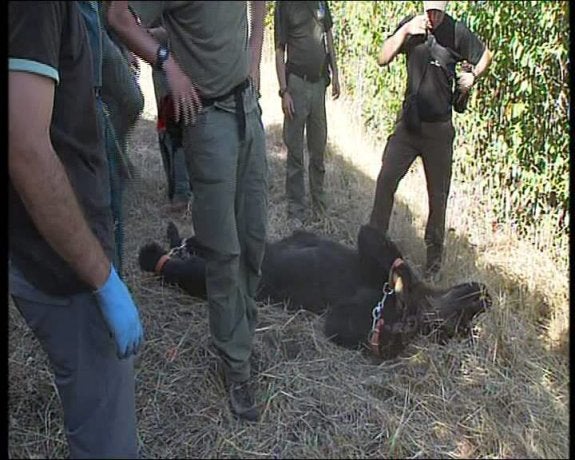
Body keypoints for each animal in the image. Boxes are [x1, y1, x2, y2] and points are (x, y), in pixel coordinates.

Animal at [138, 223, 490, 360]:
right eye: (464, 321)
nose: (484, 295)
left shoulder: (353, 322)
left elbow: (346, 326)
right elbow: (374, 239)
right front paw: (402, 280)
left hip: (219, 278)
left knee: (194, 272)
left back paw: (156, 256)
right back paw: (179, 240)